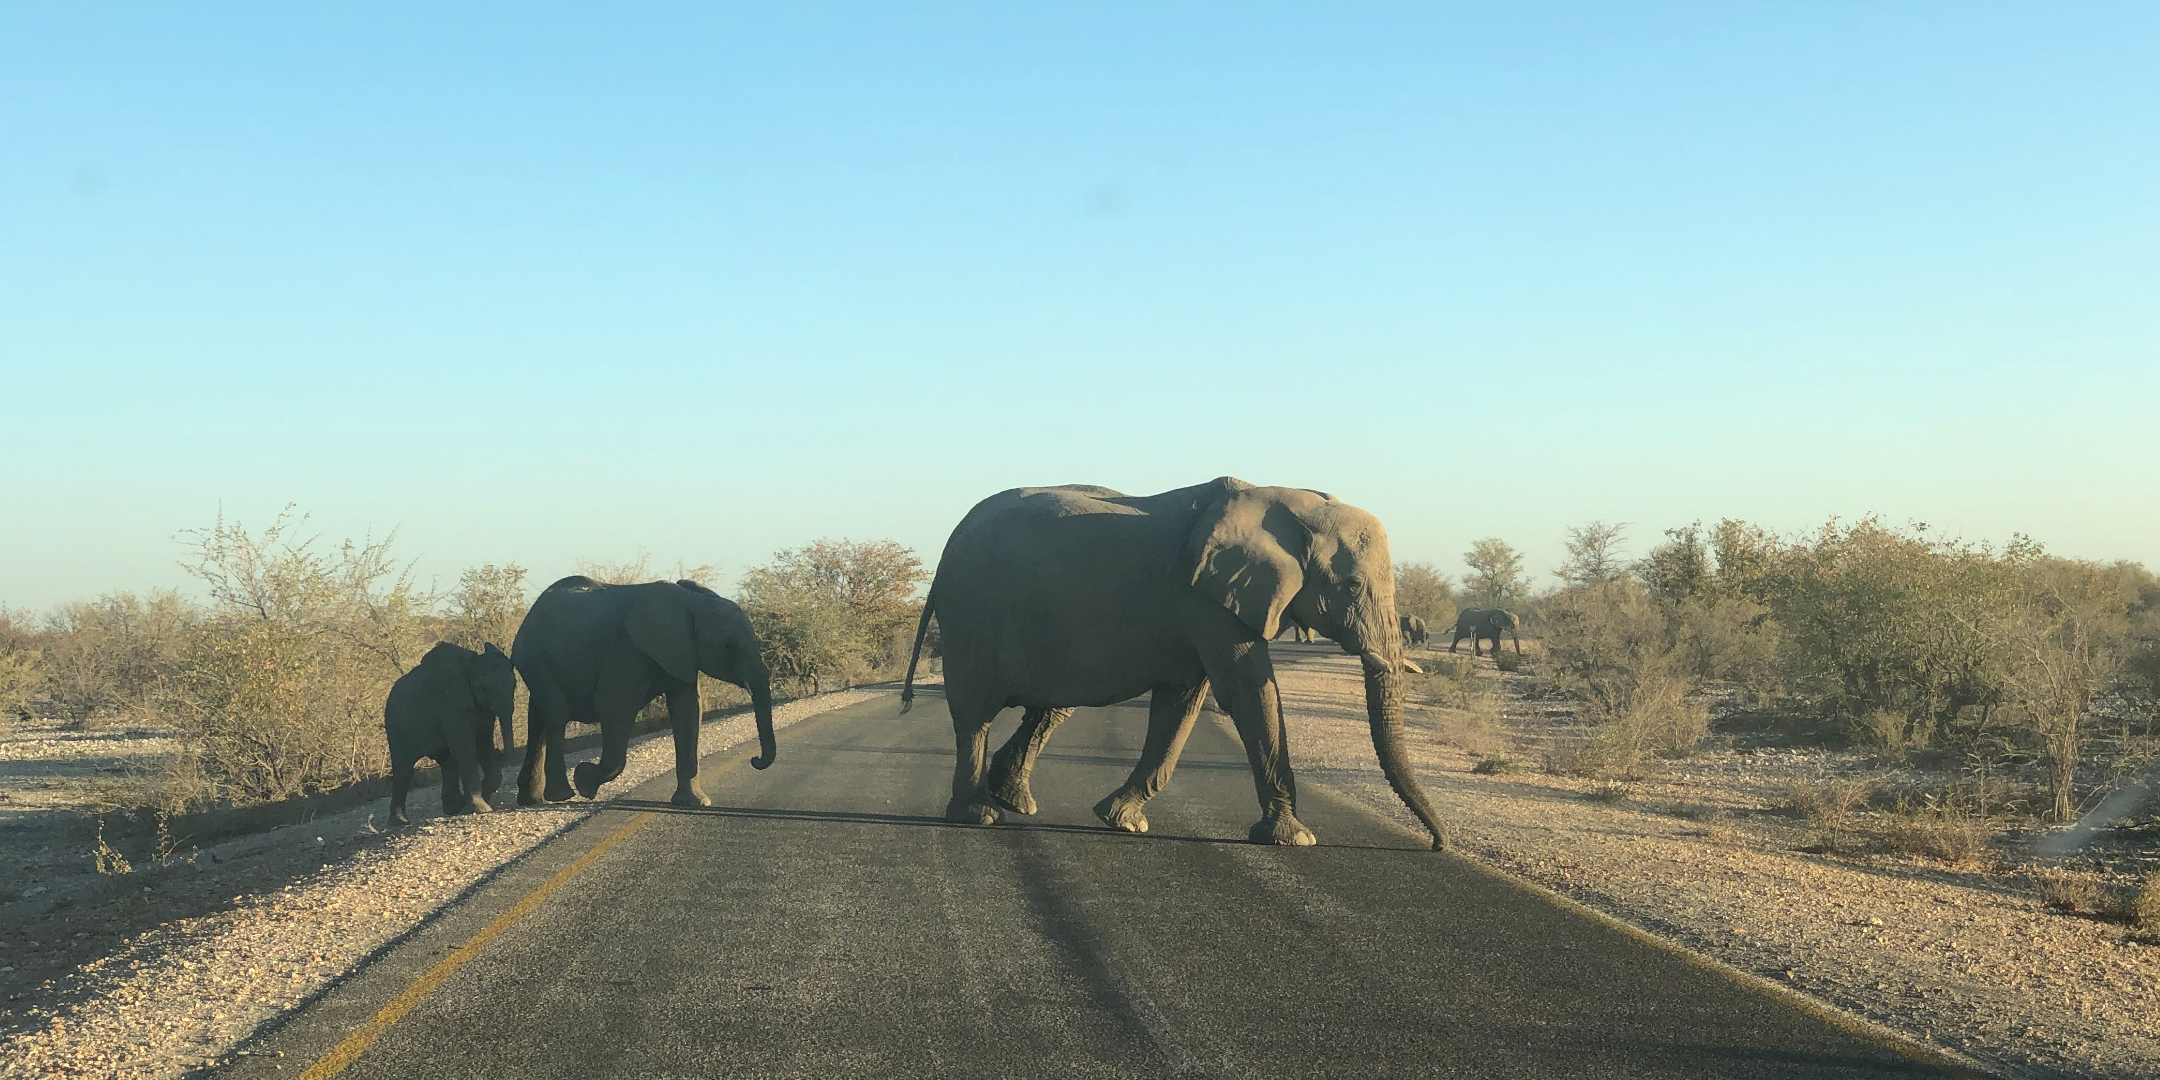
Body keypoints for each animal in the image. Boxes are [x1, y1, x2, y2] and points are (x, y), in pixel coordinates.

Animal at [384, 642, 517, 826]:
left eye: (515, 685)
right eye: (483, 688)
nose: (500, 751)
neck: (470, 666)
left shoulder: (481, 708)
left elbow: (483, 745)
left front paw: (473, 803)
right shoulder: (451, 706)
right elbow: (466, 749)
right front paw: (480, 809)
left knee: (447, 762)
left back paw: (454, 808)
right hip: (396, 728)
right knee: (404, 770)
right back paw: (400, 822)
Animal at [513, 576, 775, 808]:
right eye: (729, 646)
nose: (755, 760)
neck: (691, 602)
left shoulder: (682, 653)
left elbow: (688, 710)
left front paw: (694, 803)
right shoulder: (627, 651)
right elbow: (613, 706)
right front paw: (584, 783)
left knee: (538, 720)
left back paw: (531, 800)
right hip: (533, 657)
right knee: (557, 712)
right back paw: (561, 795)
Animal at [899, 476, 1448, 850]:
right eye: (1351, 586)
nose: (1439, 844)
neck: (1280, 496)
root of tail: (947, 548)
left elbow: (1181, 704)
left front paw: (1123, 820)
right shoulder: (1207, 597)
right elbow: (1248, 691)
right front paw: (1295, 838)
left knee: (1054, 706)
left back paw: (1015, 801)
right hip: (973, 613)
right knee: (975, 712)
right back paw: (980, 815)